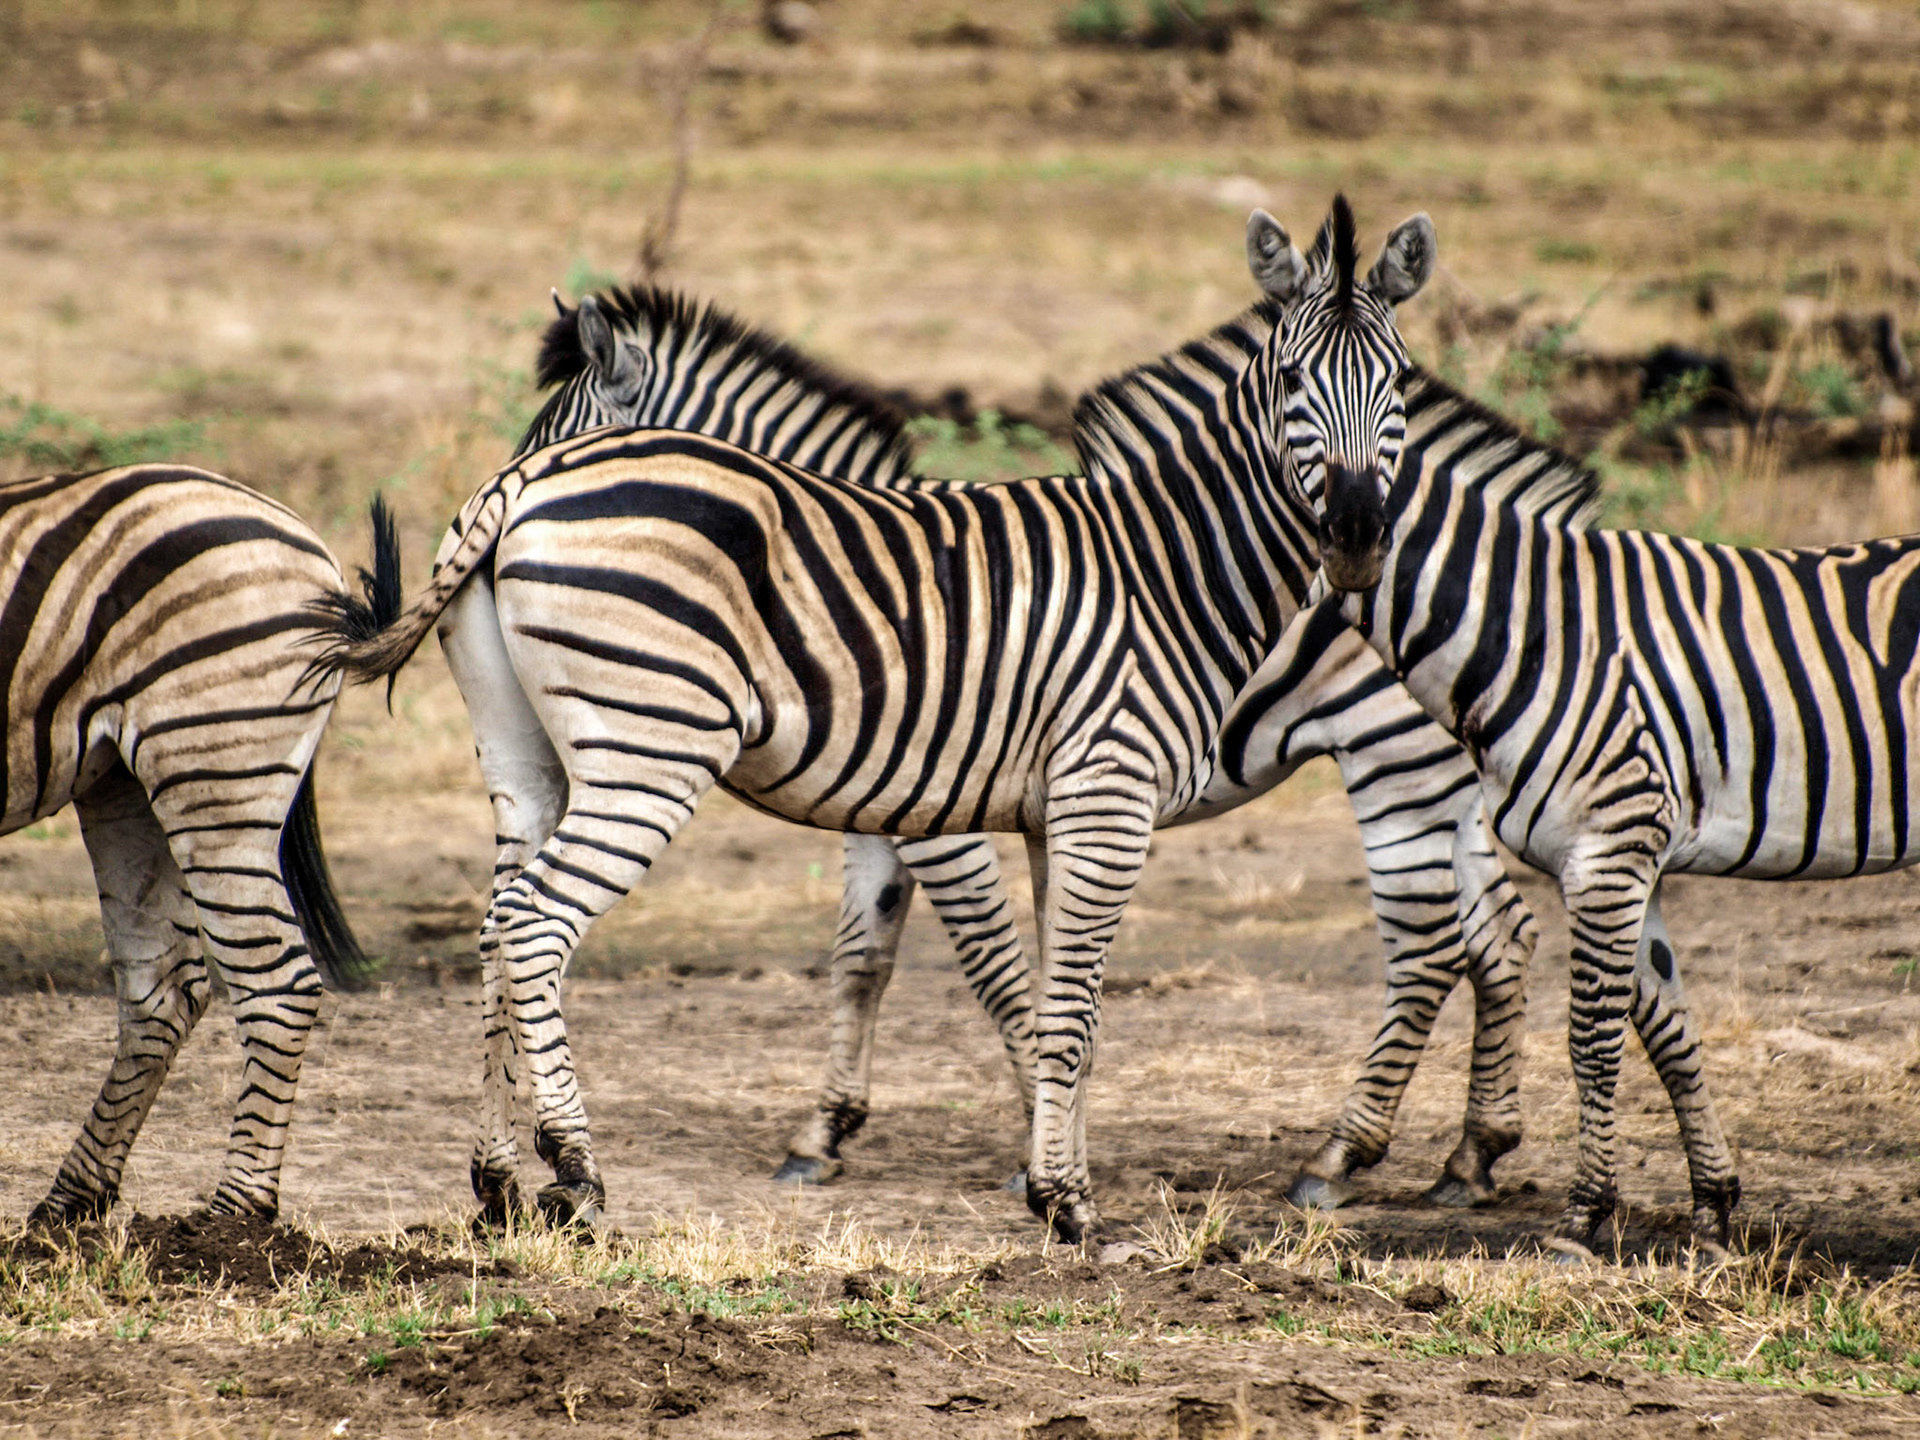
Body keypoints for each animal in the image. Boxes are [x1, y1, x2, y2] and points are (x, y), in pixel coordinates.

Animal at [2, 464, 378, 1223]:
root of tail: (311, 547)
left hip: (212, 766)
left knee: (276, 982)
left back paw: (232, 1219)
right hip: (122, 781)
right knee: (164, 988)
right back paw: (68, 1209)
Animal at [309, 269, 1536, 1243]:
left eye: (552, 419)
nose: (1357, 539)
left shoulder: (928, 805)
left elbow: (945, 965)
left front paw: (971, 1142)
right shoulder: (924, 804)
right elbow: (938, 964)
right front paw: (954, 1146)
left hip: (1399, 762)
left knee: (1456, 939)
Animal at [1240, 192, 1920, 1258]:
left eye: (1399, 383)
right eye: (1291, 379)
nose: (1355, 535)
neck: (1533, 620)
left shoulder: (1612, 844)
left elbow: (1594, 1035)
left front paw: (1584, 1219)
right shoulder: (1611, 854)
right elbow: (1666, 1023)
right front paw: (1713, 1205)